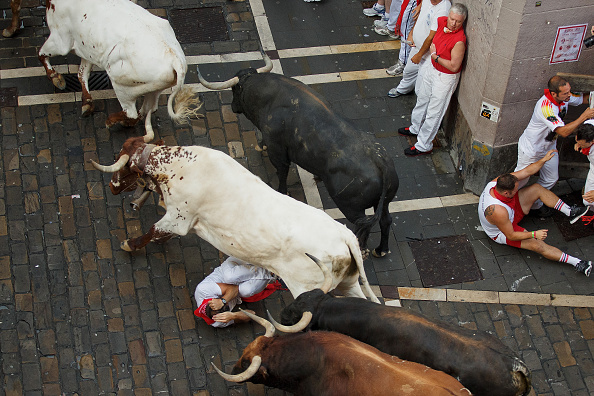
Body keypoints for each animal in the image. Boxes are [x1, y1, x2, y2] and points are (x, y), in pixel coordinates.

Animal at [38, 0, 199, 137]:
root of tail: (174, 58)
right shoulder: (87, 50)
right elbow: (82, 74)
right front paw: (87, 103)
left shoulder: (60, 40)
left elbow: (42, 54)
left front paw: (56, 78)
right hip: (153, 88)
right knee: (148, 108)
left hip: (123, 86)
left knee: (131, 113)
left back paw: (111, 121)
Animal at [92, 137, 376, 304]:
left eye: (121, 162)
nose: (112, 187)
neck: (180, 167)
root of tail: (344, 235)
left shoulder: (178, 217)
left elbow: (153, 231)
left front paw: (129, 244)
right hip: (348, 284)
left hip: (307, 288)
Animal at [198, 58, 398, 256]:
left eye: (235, 89)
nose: (232, 107)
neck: (270, 97)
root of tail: (381, 161)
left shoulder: (277, 150)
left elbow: (282, 172)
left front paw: (282, 191)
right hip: (384, 202)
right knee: (385, 220)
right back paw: (381, 249)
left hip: (352, 208)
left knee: (361, 229)